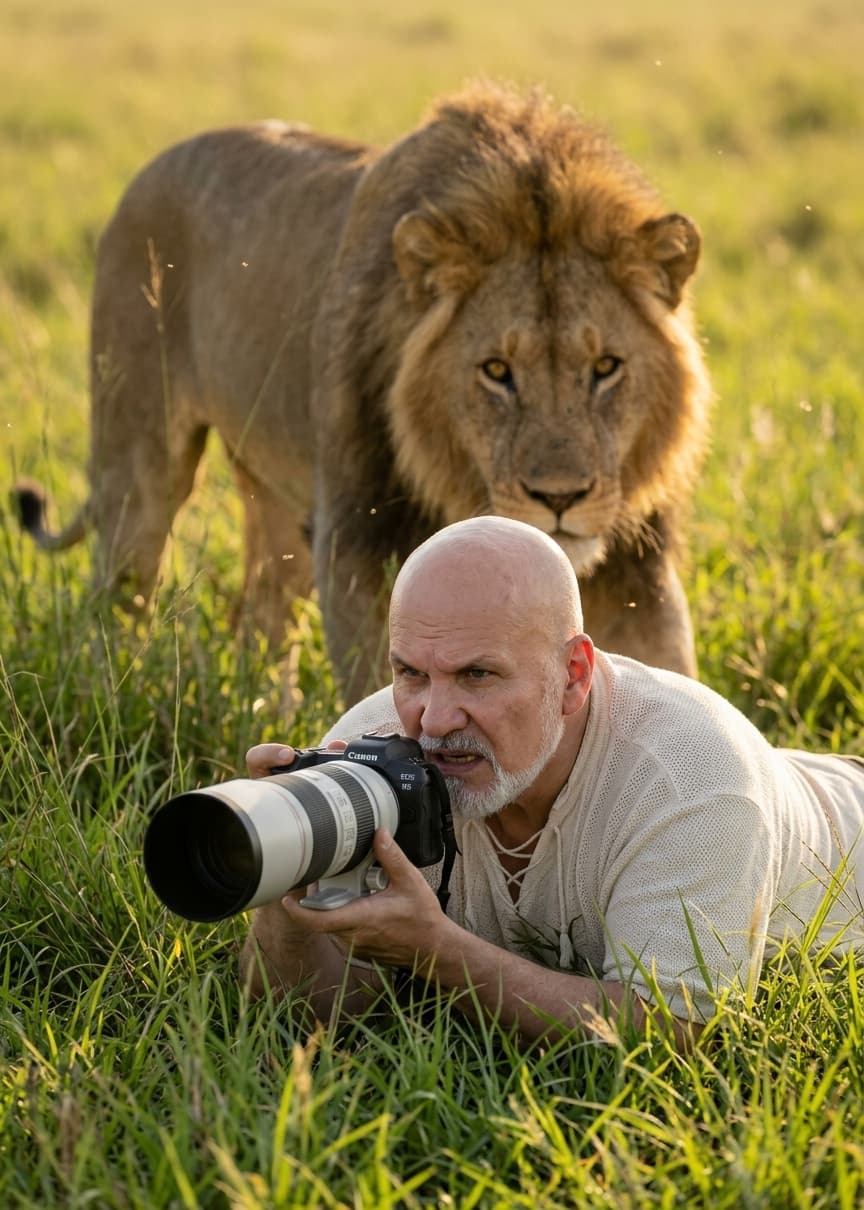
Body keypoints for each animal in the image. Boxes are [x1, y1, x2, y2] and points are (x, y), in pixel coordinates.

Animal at [14, 82, 712, 703]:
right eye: (496, 371)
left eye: (606, 367)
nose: (560, 498)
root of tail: (149, 169)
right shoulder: (355, 547)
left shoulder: (639, 569)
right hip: (140, 466)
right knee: (118, 598)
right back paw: (112, 701)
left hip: (275, 499)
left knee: (262, 618)